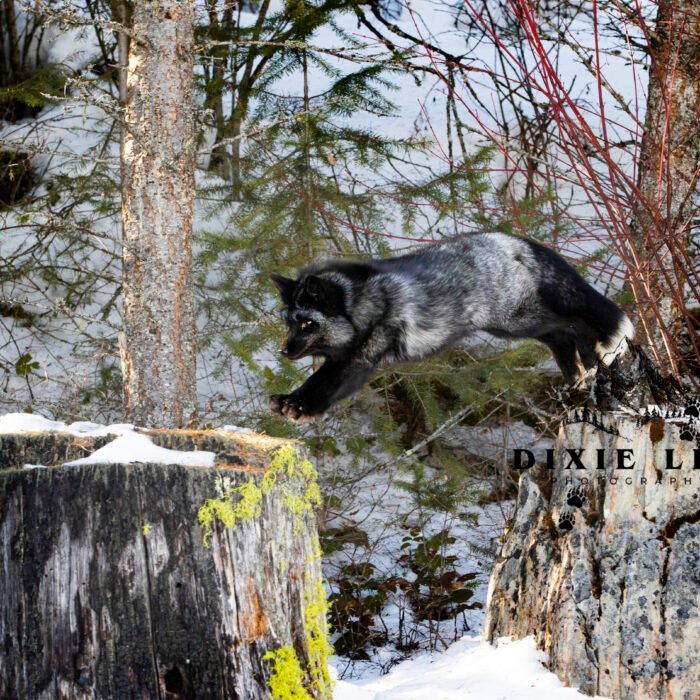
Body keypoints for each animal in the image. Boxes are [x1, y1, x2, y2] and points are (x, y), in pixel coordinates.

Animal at [269, 232, 634, 421]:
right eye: (290, 322)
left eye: (307, 322)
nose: (283, 351)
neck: (364, 301)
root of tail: (512, 239)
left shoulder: (360, 359)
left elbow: (322, 384)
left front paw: (296, 404)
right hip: (514, 325)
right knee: (559, 335)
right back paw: (576, 380)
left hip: (517, 319)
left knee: (573, 326)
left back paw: (590, 362)